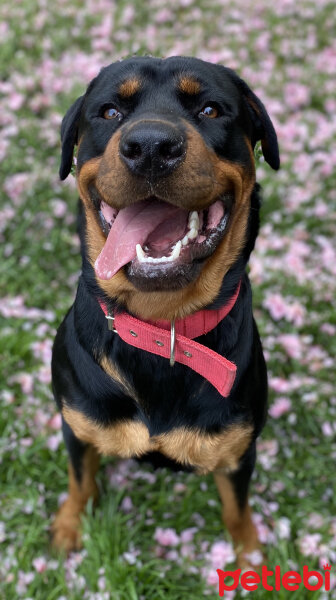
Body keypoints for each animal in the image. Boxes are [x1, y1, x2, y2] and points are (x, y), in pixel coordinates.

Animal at [51, 56, 280, 568]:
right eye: (110, 112)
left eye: (211, 109)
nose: (151, 147)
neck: (162, 327)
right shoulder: (78, 425)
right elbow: (79, 480)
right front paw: (70, 526)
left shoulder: (238, 451)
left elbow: (236, 509)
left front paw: (249, 555)